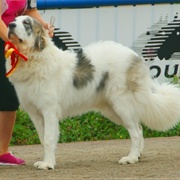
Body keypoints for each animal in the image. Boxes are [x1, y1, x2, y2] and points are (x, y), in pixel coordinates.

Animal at [5, 15, 180, 170]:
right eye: (14, 20)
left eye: (26, 23)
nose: (10, 25)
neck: (34, 58)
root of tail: (135, 57)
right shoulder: (35, 114)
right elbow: (43, 139)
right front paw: (46, 161)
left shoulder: (49, 111)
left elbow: (48, 139)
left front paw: (48, 164)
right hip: (113, 110)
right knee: (139, 128)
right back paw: (137, 155)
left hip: (122, 106)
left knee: (136, 132)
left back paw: (130, 158)